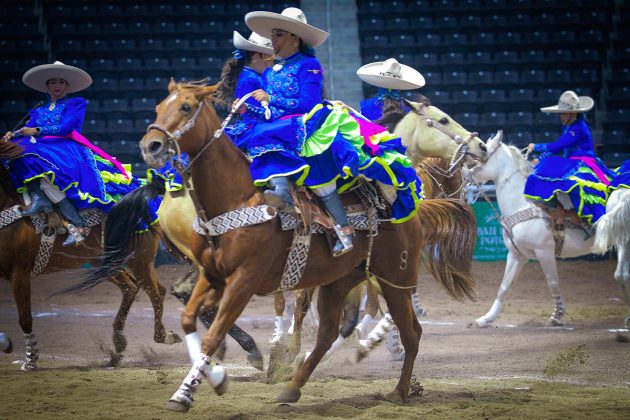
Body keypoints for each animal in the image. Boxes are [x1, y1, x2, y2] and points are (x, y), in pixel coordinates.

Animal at [0, 162, 178, 370]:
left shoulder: (19, 272)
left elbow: (25, 318)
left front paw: (30, 360)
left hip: (139, 261)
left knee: (156, 292)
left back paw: (163, 336)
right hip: (107, 262)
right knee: (131, 287)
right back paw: (117, 347)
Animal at [135, 80, 474, 412]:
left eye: (185, 107)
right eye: (160, 107)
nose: (151, 145)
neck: (238, 197)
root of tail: (412, 209)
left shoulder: (243, 281)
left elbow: (215, 332)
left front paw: (195, 388)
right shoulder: (214, 275)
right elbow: (190, 319)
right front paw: (204, 382)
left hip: (395, 279)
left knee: (410, 332)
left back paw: (399, 391)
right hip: (341, 281)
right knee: (331, 332)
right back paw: (292, 386)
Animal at [470, 131, 630, 328]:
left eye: (483, 155)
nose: (467, 173)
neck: (522, 204)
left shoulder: (544, 252)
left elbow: (552, 282)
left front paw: (557, 315)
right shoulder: (517, 254)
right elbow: (504, 287)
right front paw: (486, 318)